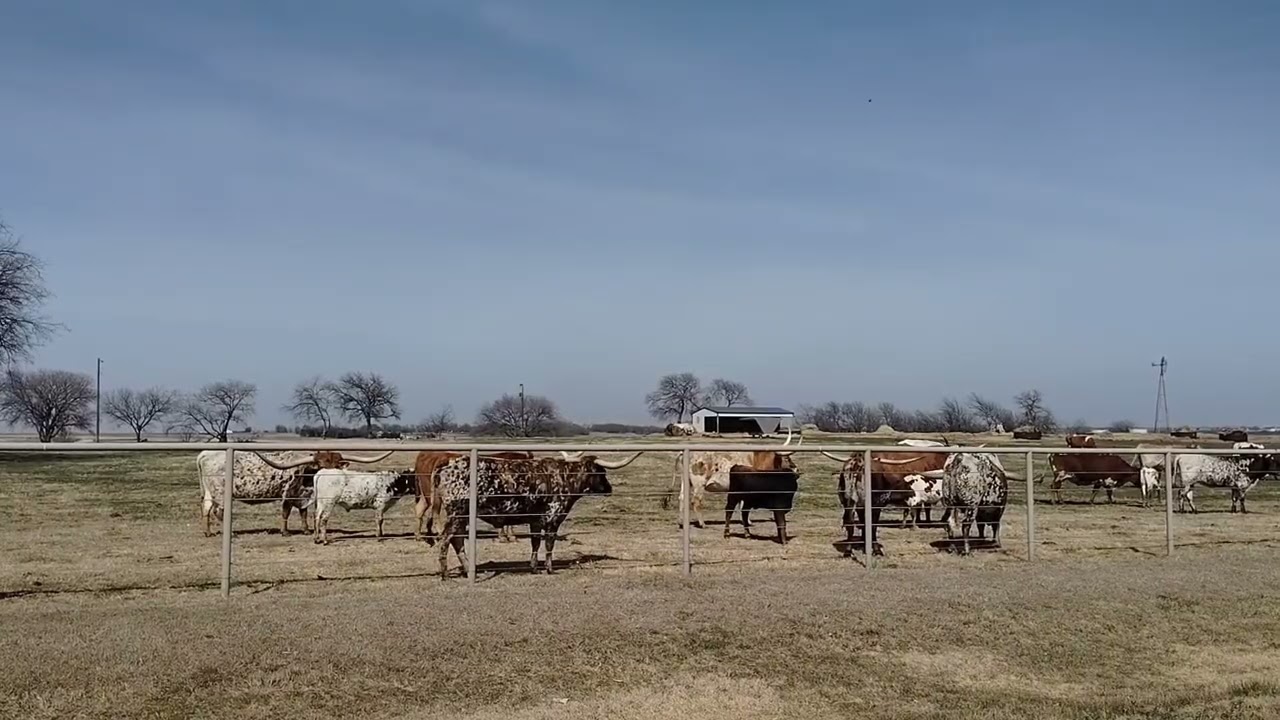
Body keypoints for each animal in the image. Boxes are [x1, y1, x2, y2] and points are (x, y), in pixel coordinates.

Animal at [195, 449, 393, 536]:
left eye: (336, 464)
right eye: (321, 464)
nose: (329, 475)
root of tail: (206, 454)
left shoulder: (303, 496)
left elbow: (304, 513)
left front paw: (305, 530)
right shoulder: (288, 495)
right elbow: (286, 513)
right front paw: (285, 532)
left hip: (210, 492)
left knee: (206, 509)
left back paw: (208, 532)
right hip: (221, 493)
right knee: (219, 511)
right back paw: (230, 533)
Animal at [434, 453, 643, 578]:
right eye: (602, 472)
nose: (609, 488)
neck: (564, 477)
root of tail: (447, 465)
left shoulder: (535, 521)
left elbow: (535, 543)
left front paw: (534, 566)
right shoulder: (553, 519)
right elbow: (549, 544)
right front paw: (549, 568)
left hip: (462, 517)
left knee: (457, 541)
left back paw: (469, 570)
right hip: (456, 514)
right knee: (446, 540)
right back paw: (445, 573)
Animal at [662, 429, 800, 528]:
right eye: (787, 458)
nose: (797, 470)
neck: (757, 459)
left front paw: (746, 521)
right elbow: (745, 504)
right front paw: (747, 522)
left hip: (686, 482)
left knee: (682, 498)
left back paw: (681, 522)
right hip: (699, 484)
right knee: (696, 501)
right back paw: (702, 524)